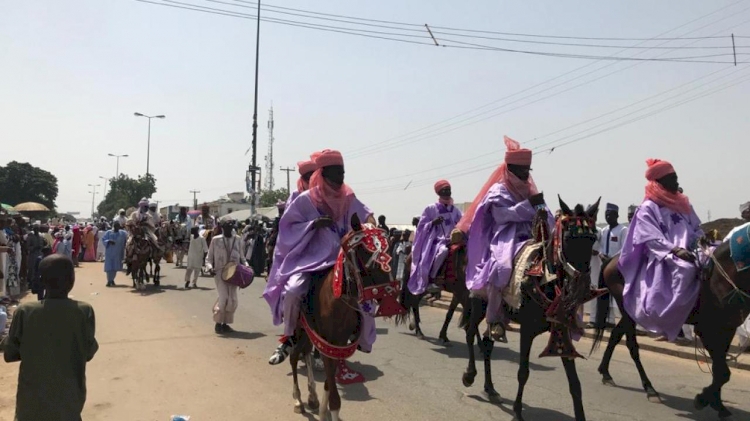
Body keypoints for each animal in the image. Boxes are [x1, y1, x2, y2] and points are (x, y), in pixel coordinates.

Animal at [286, 215, 396, 418]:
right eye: (364, 251)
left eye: (388, 247)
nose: (390, 292)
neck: (339, 302)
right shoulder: (328, 343)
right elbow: (335, 397)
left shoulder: (339, 343)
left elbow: (329, 384)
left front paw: (323, 411)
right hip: (298, 326)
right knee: (294, 355)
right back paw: (298, 400)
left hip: (308, 332)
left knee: (305, 352)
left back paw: (312, 397)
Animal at [462, 197, 604, 420]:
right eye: (568, 238)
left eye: (593, 238)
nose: (581, 287)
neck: (546, 279)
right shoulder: (527, 331)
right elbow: (523, 372)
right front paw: (517, 412)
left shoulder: (561, 332)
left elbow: (575, 383)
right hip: (479, 303)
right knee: (470, 334)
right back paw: (469, 375)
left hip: (498, 313)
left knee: (487, 342)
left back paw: (491, 389)